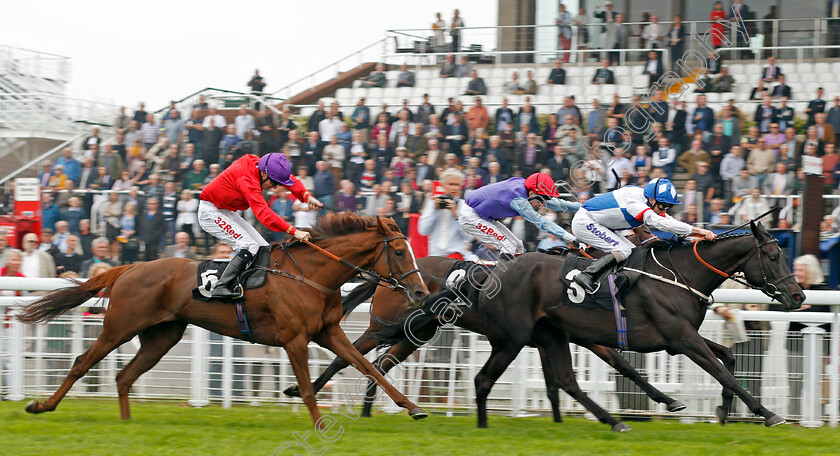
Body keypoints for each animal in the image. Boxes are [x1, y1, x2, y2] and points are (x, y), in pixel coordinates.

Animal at [17, 214, 430, 428]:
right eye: (398, 251)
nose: (421, 293)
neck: (311, 273)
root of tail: (131, 267)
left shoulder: (327, 333)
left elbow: (369, 367)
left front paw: (413, 407)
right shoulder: (294, 338)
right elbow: (309, 388)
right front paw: (318, 424)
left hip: (161, 337)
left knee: (123, 376)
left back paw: (127, 422)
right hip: (120, 326)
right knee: (82, 362)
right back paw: (42, 406)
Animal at [286, 256, 684, 432]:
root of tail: (393, 277)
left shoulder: (557, 338)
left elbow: (614, 368)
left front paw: (669, 401)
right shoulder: (564, 337)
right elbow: (580, 375)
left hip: (416, 335)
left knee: (380, 364)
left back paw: (380, 410)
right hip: (389, 328)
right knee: (351, 356)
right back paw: (302, 390)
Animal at [378, 221, 800, 428]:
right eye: (774, 256)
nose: (797, 297)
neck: (680, 274)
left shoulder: (680, 338)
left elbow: (728, 358)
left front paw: (724, 412)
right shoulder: (679, 338)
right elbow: (723, 371)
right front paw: (767, 414)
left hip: (541, 335)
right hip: (513, 337)